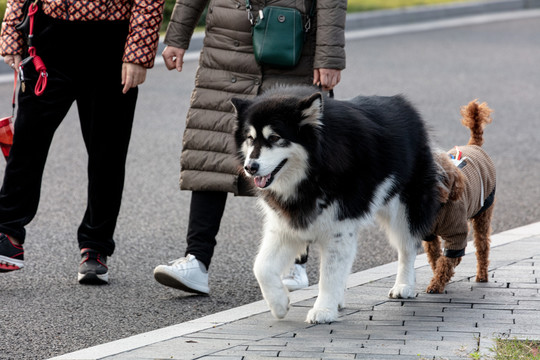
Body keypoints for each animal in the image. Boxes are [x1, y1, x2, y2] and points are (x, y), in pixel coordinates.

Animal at [232, 86, 438, 324]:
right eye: (250, 138)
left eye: (274, 137)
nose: (250, 167)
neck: (313, 172)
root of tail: (403, 104)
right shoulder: (286, 224)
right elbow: (262, 267)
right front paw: (279, 304)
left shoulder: (339, 227)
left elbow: (329, 275)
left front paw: (323, 310)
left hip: (404, 208)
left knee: (407, 247)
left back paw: (404, 285)